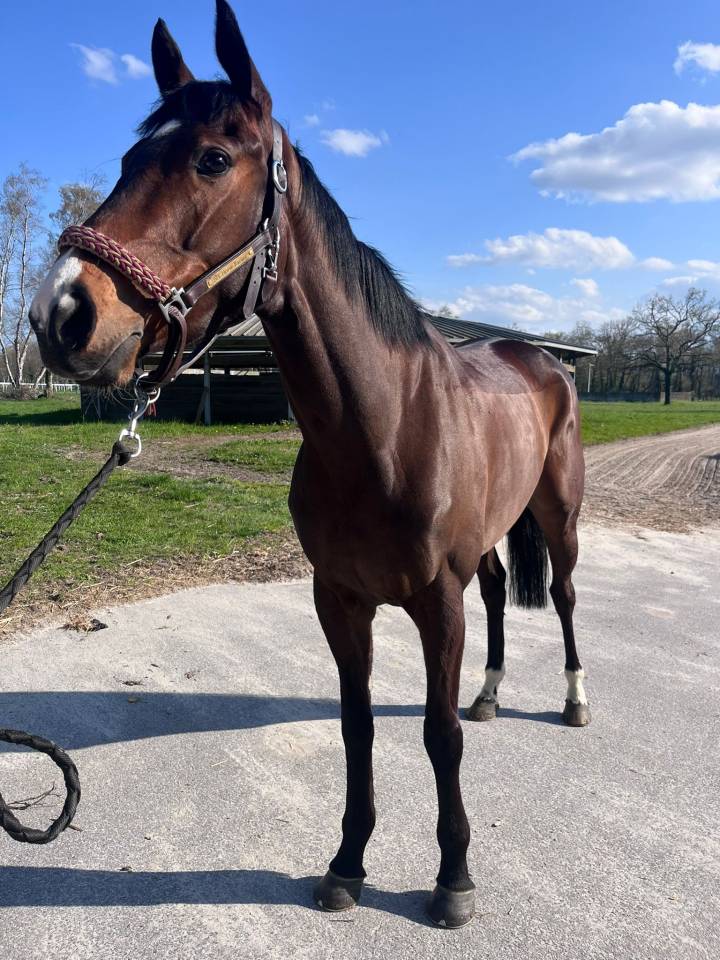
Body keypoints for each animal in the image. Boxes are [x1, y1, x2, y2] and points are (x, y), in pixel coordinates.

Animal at [29, 0, 589, 928]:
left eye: (212, 159)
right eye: (129, 161)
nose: (61, 315)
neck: (384, 431)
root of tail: (541, 358)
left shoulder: (435, 601)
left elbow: (437, 735)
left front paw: (453, 878)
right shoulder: (340, 599)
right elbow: (358, 726)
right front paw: (347, 863)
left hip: (559, 515)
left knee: (570, 600)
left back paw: (575, 702)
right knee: (502, 594)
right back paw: (491, 693)